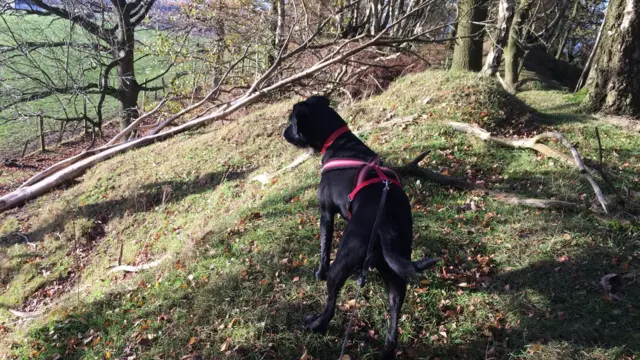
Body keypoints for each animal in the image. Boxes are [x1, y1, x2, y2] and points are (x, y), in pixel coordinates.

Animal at [284, 94, 440, 358]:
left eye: (292, 121)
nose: (284, 133)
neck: (339, 143)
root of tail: (385, 223)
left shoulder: (326, 213)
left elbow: (324, 246)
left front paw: (318, 272)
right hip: (394, 268)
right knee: (395, 310)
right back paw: (387, 349)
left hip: (344, 258)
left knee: (331, 304)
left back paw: (316, 324)